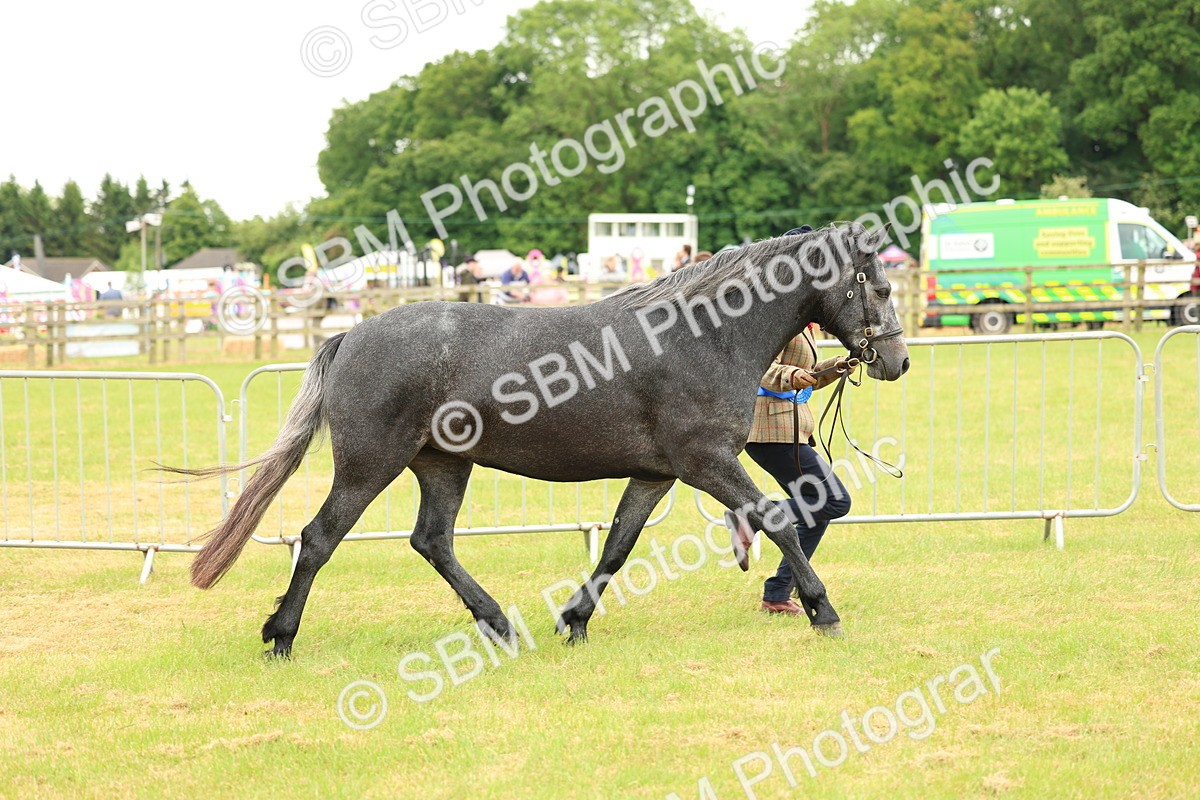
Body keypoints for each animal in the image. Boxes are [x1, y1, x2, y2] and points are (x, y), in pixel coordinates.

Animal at [176, 224, 909, 657]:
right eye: (878, 285)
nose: (897, 362)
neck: (701, 335)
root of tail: (351, 335)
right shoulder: (708, 462)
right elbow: (779, 519)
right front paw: (822, 608)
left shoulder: (657, 473)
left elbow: (617, 546)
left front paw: (574, 620)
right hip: (369, 465)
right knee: (320, 538)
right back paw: (280, 636)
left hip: (443, 466)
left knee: (431, 541)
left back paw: (499, 624)